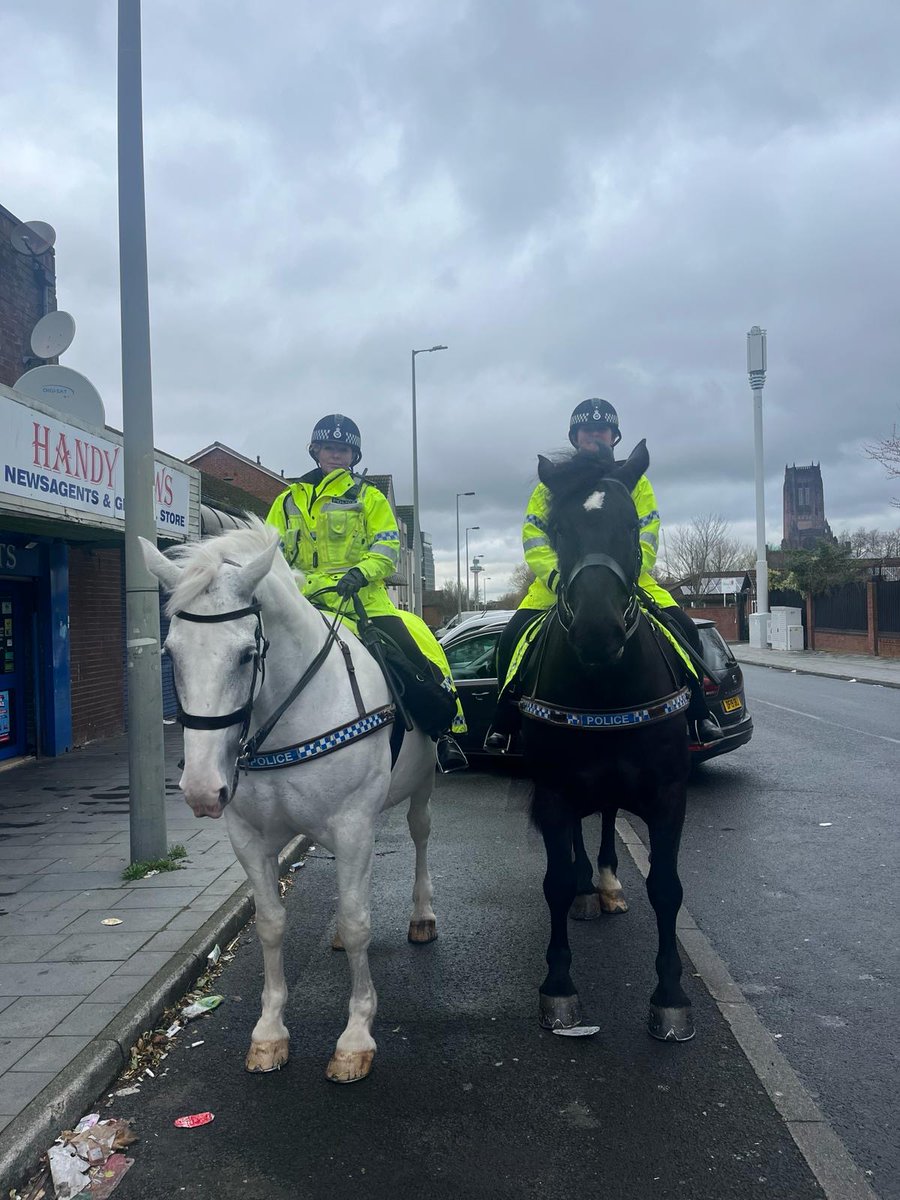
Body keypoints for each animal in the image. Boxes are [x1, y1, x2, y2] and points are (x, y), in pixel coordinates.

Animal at [139, 520, 439, 1084]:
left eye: (246, 654)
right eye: (170, 652)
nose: (201, 789)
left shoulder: (351, 826)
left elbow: (358, 920)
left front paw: (355, 1036)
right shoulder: (250, 838)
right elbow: (272, 924)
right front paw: (269, 1031)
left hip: (423, 787)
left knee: (419, 837)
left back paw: (423, 915)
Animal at [518, 441, 696, 1041]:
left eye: (631, 525)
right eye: (557, 529)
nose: (597, 631)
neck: (605, 685)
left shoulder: (669, 794)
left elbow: (666, 887)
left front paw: (670, 997)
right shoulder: (553, 791)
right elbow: (551, 882)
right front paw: (559, 988)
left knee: (609, 817)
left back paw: (607, 885)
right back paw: (583, 889)